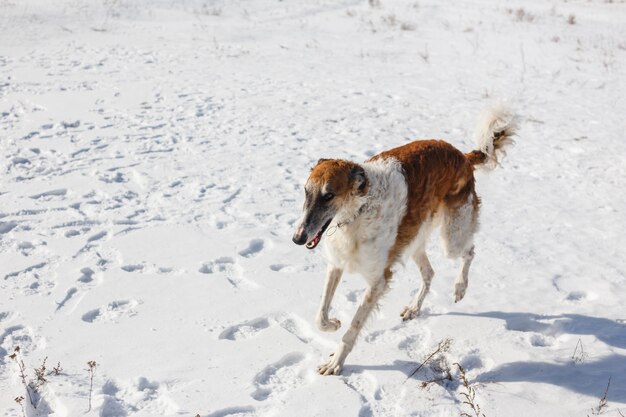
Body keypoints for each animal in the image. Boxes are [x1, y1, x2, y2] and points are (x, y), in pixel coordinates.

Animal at [290, 103, 516, 374]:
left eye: (329, 195)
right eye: (306, 192)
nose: (297, 238)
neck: (358, 211)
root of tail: (462, 155)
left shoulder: (378, 280)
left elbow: (353, 327)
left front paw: (336, 363)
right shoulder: (336, 264)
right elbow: (320, 315)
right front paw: (333, 323)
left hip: (452, 236)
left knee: (469, 251)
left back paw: (460, 288)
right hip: (415, 239)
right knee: (429, 272)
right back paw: (413, 308)